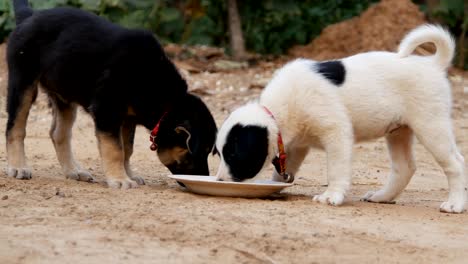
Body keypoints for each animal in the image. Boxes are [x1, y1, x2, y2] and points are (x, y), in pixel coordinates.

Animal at [5, 1, 218, 189]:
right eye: (196, 153)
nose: (203, 178)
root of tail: (29, 16)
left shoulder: (128, 118)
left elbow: (127, 149)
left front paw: (128, 174)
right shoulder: (107, 110)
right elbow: (115, 149)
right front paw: (120, 180)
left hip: (64, 93)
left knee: (58, 133)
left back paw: (73, 170)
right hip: (23, 82)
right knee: (15, 128)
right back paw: (18, 167)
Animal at [215, 24, 464, 213]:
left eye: (233, 155)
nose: (220, 182)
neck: (278, 112)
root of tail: (433, 64)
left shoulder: (336, 133)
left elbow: (336, 169)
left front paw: (331, 195)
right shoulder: (297, 147)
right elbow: (282, 172)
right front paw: (276, 186)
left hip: (430, 125)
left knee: (455, 164)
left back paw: (455, 204)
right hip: (399, 131)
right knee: (405, 167)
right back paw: (382, 197)